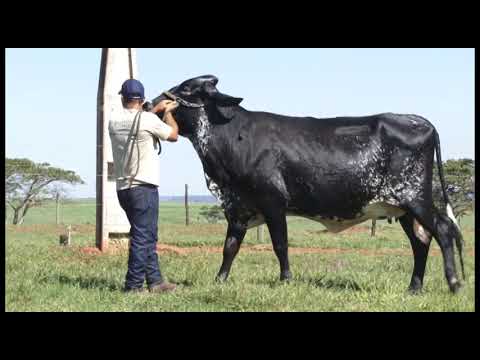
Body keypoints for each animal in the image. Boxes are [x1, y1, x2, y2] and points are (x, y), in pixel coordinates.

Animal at [149, 74, 464, 294]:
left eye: (187, 89)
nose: (152, 103)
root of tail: (420, 121)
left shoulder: (273, 202)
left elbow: (280, 244)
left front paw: (286, 279)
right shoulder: (238, 206)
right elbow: (230, 246)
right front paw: (220, 280)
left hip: (415, 197)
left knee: (443, 230)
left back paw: (453, 283)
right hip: (402, 208)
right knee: (421, 241)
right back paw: (414, 287)